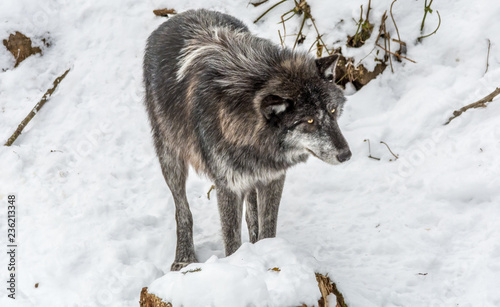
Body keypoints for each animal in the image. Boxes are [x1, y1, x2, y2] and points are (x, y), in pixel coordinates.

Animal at [143, 8, 350, 270]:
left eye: (332, 110)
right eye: (310, 121)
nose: (346, 154)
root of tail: (182, 15)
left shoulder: (272, 178)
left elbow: (267, 226)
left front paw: (267, 253)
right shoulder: (228, 186)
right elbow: (231, 239)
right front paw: (237, 264)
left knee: (251, 213)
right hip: (171, 158)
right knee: (182, 210)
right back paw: (184, 258)